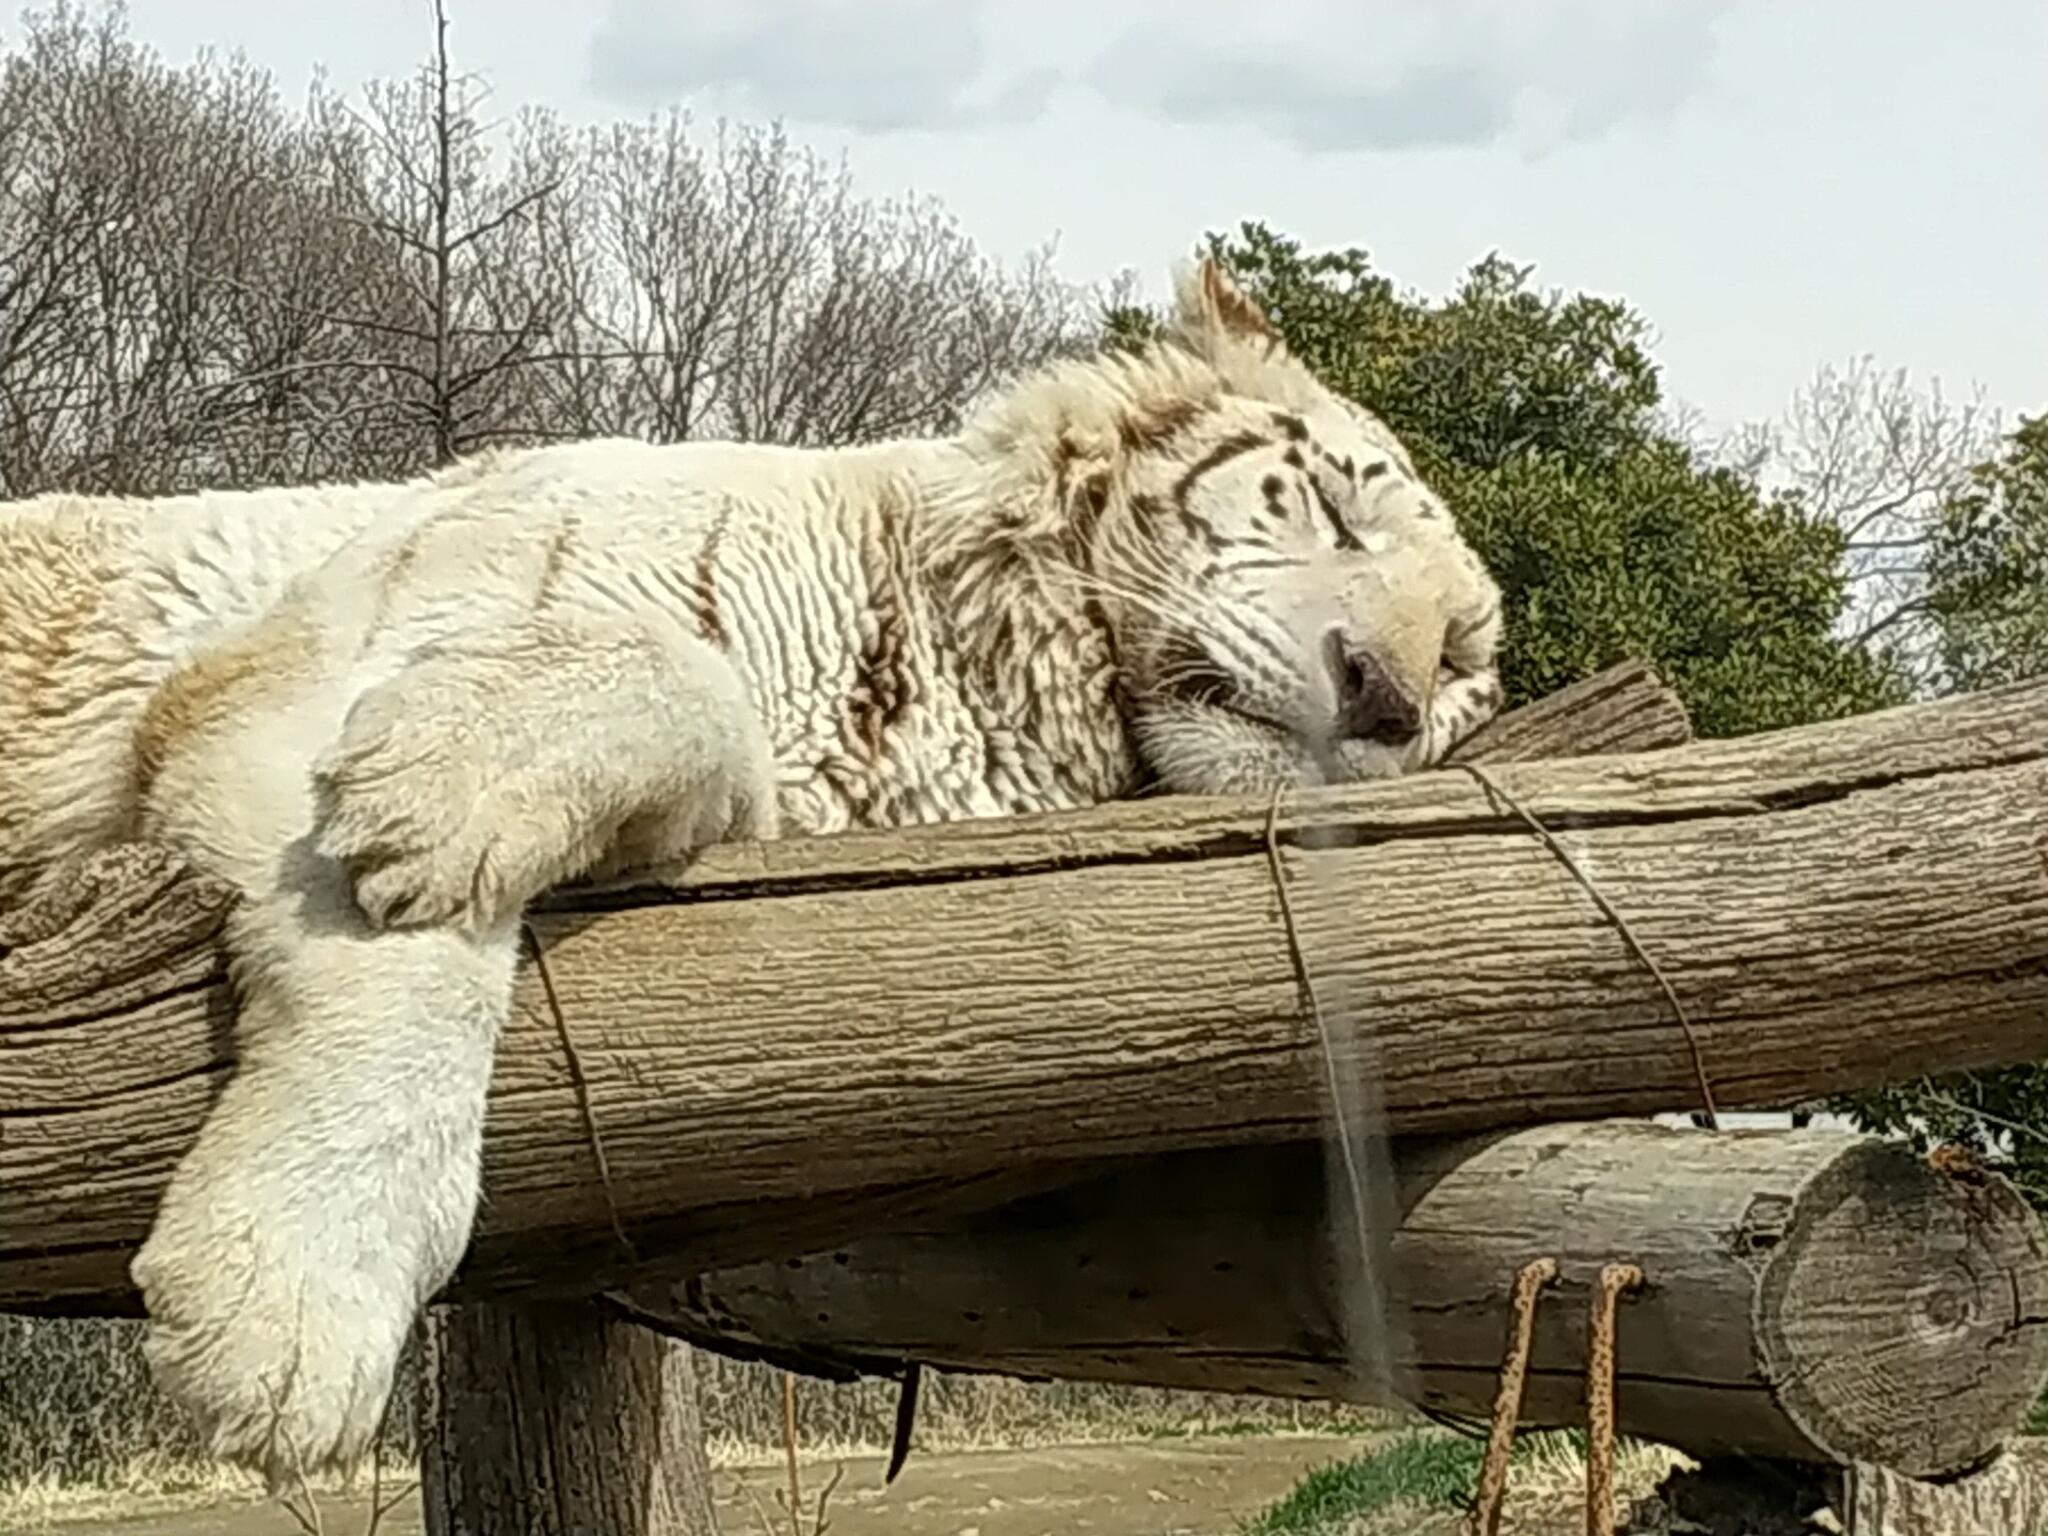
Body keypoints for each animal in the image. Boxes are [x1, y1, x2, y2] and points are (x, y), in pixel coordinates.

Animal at [0, 262, 1507, 1490]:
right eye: (1335, 510)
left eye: (1462, 668)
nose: (1379, 693)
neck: (979, 676)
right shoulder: (313, 657)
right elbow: (401, 944)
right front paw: (287, 1316)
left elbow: (695, 703)